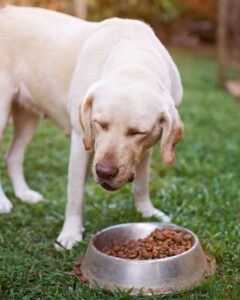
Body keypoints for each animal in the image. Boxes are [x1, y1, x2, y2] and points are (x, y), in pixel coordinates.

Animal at [0, 7, 184, 250]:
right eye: (100, 124)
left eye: (137, 132)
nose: (105, 172)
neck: (135, 60)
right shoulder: (81, 140)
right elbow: (75, 194)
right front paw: (70, 234)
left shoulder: (148, 147)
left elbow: (142, 184)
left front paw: (147, 212)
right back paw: (3, 202)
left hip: (29, 115)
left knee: (13, 156)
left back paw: (24, 194)